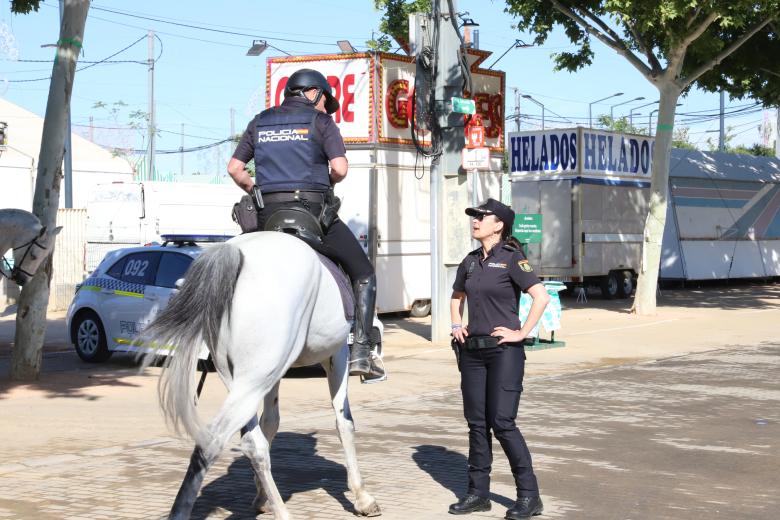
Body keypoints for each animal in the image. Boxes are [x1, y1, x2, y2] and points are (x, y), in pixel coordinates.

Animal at [145, 233, 382, 520]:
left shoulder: (274, 375)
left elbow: (270, 423)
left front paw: (261, 496)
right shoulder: (337, 355)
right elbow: (344, 421)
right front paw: (362, 497)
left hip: (244, 380)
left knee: (251, 442)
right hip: (254, 380)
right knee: (214, 441)